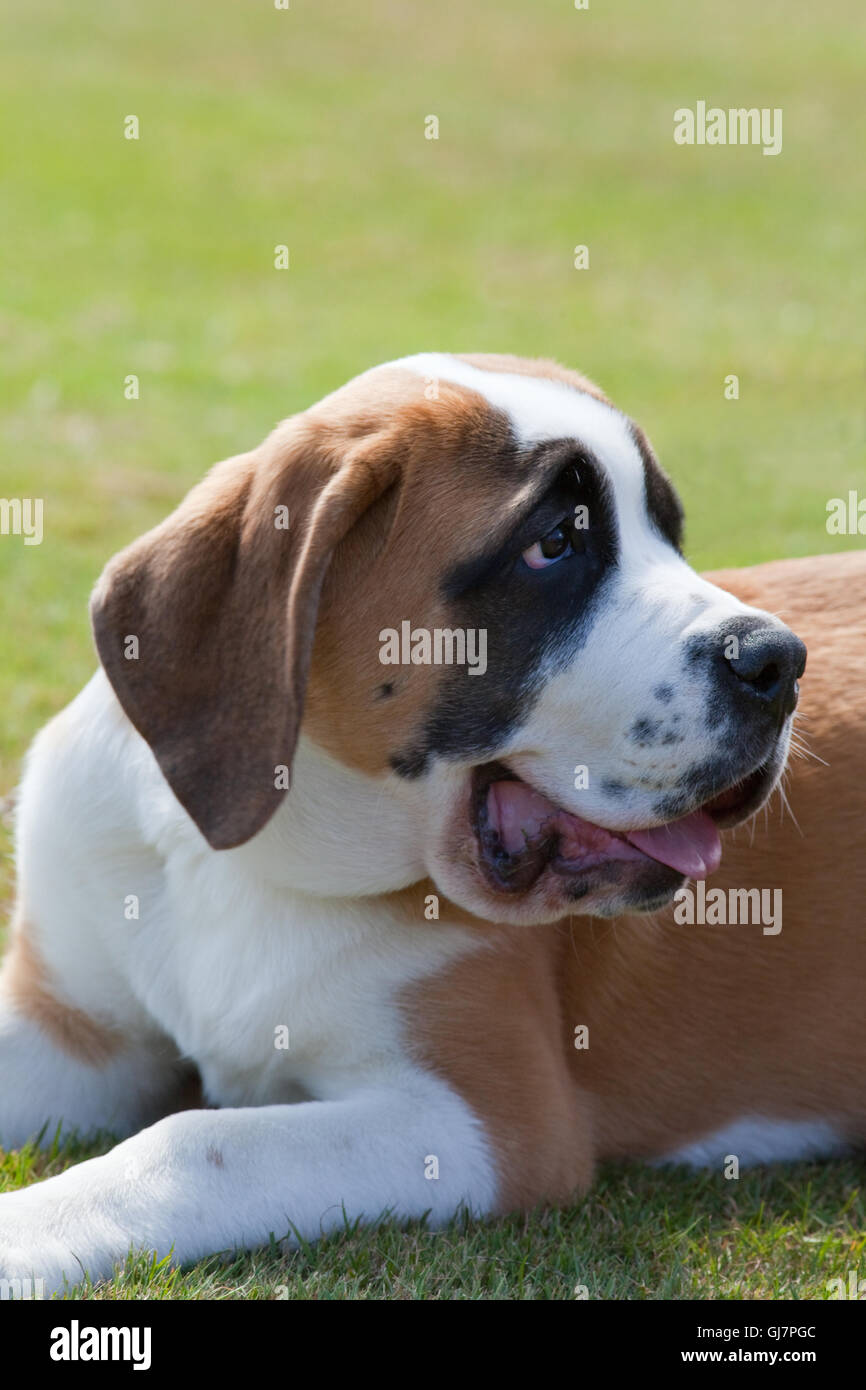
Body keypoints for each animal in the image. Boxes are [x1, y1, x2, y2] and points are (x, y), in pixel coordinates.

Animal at [1, 355, 866, 1289]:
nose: (779, 662)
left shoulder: (488, 1121)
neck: (255, 864)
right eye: (552, 544)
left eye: (669, 535)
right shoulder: (72, 1032)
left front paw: (26, 1227)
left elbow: (199, 1143)